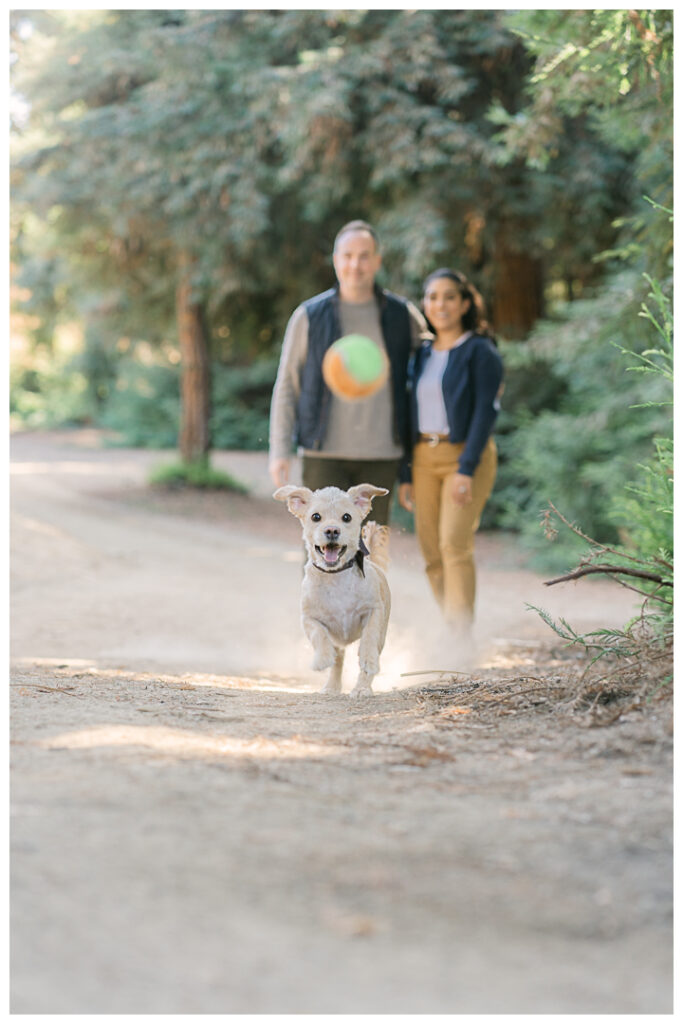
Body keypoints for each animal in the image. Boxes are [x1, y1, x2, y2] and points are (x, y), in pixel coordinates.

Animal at [272, 483, 389, 700]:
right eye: (316, 517)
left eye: (347, 517)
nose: (332, 530)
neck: (336, 576)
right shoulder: (309, 618)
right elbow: (318, 635)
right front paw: (322, 660)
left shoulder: (374, 610)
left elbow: (369, 637)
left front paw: (368, 660)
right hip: (337, 641)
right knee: (338, 661)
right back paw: (331, 686)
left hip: (382, 635)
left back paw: (362, 688)